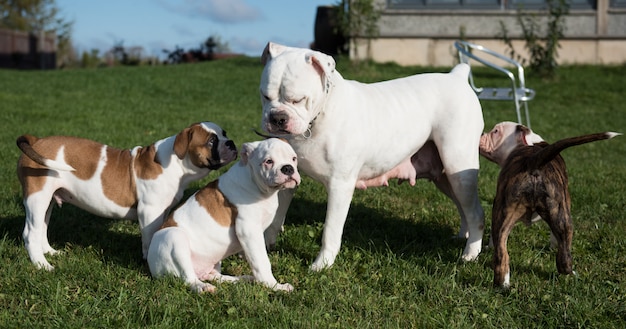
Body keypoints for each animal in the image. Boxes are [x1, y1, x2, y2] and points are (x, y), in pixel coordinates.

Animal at [17, 121, 238, 270]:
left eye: (224, 134)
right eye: (211, 141)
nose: (231, 143)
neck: (176, 162)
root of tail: (36, 142)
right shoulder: (150, 213)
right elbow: (149, 238)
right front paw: (148, 260)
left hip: (47, 200)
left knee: (42, 227)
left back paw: (49, 252)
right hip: (37, 197)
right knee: (30, 232)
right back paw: (42, 264)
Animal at [149, 138, 300, 292]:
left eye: (294, 159)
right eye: (268, 161)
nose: (288, 168)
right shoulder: (249, 230)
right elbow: (262, 261)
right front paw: (274, 285)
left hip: (213, 261)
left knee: (215, 276)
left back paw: (243, 279)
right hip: (175, 237)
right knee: (188, 278)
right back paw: (202, 287)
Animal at [258, 41, 482, 270]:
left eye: (298, 100)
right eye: (265, 96)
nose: (277, 118)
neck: (321, 115)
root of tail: (457, 76)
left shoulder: (340, 186)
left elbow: (330, 231)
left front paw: (322, 264)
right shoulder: (285, 178)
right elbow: (275, 218)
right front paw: (267, 245)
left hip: (459, 169)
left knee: (475, 213)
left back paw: (470, 254)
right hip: (446, 177)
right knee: (464, 207)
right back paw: (463, 236)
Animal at [480, 121, 616, 288]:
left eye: (496, 131)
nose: (481, 134)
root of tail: (533, 160)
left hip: (505, 213)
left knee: (502, 253)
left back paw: (503, 284)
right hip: (559, 214)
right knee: (563, 256)